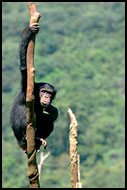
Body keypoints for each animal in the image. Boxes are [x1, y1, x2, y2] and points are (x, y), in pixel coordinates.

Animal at [9, 23, 58, 152]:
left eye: (49, 93)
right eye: (43, 91)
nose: (46, 96)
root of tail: (19, 144)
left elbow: (48, 117)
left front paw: (53, 109)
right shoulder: (28, 85)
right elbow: (24, 69)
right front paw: (28, 31)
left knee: (48, 121)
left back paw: (38, 141)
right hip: (21, 135)